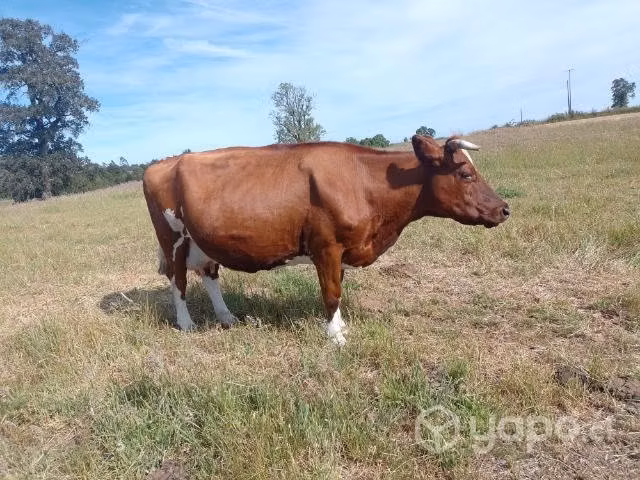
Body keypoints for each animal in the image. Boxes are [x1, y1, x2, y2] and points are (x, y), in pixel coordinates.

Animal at [142, 135, 510, 345]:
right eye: (465, 173)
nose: (504, 209)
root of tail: (163, 163)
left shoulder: (343, 249)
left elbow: (338, 287)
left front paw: (341, 326)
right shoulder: (327, 246)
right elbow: (331, 293)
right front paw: (336, 337)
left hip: (202, 241)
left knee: (209, 275)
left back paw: (227, 317)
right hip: (172, 239)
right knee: (177, 282)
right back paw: (187, 324)